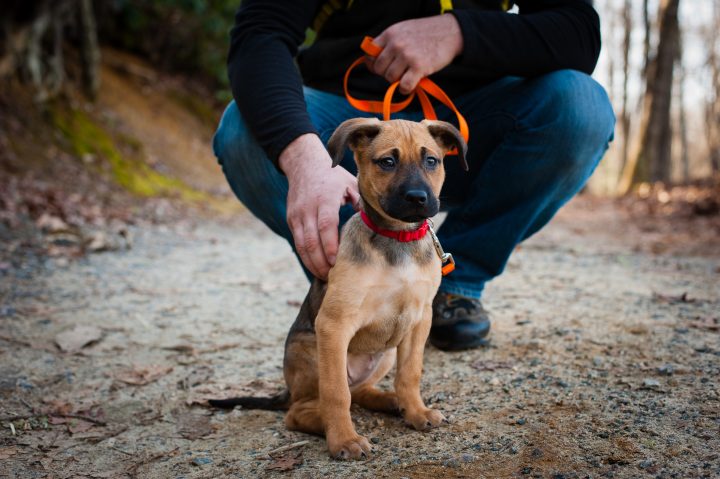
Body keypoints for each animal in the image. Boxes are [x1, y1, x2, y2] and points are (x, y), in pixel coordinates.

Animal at [210, 118, 466, 460]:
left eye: (431, 161)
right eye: (388, 162)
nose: (417, 198)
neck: (397, 239)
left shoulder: (418, 320)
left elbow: (410, 373)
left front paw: (416, 412)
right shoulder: (334, 324)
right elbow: (336, 394)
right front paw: (344, 439)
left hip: (384, 354)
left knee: (359, 391)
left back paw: (391, 401)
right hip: (313, 354)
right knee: (303, 410)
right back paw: (328, 424)